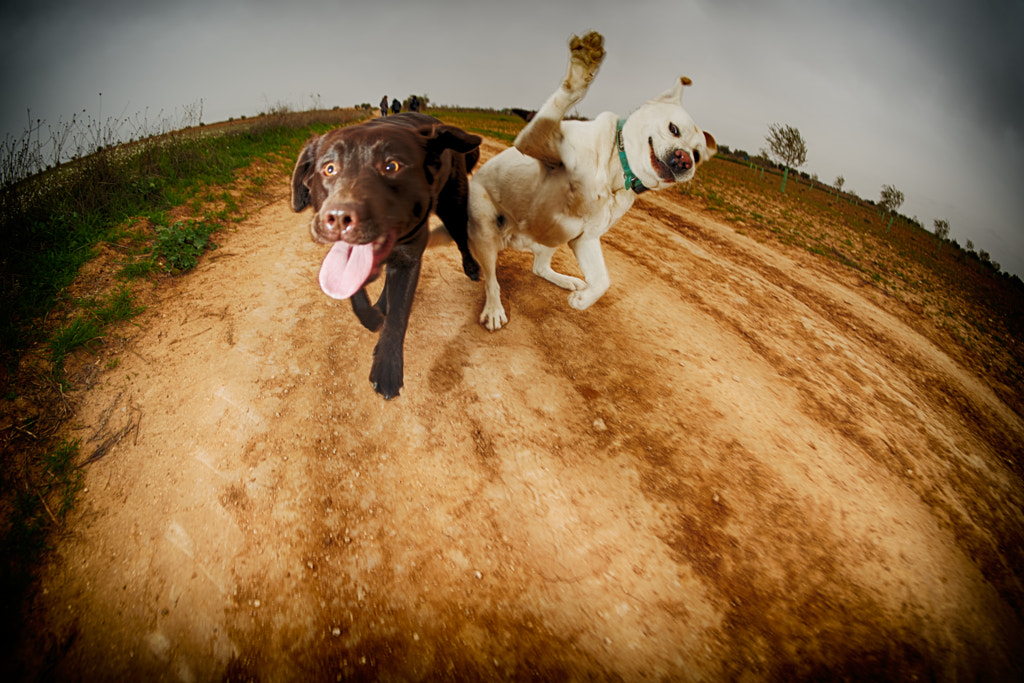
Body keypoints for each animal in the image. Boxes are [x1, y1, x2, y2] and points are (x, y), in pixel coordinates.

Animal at [288, 113, 479, 401]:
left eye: (392, 166)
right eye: (329, 168)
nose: (339, 217)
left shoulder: (409, 259)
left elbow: (398, 315)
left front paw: (387, 368)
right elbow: (356, 296)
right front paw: (373, 316)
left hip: (453, 207)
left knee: (462, 239)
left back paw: (472, 267)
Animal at [468, 30, 716, 329]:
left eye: (698, 155)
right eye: (673, 129)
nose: (685, 160)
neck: (616, 172)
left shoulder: (585, 237)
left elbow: (602, 281)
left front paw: (583, 300)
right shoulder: (534, 141)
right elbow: (566, 97)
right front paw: (583, 66)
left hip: (551, 240)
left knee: (539, 267)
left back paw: (566, 280)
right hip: (485, 228)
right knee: (491, 279)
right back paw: (494, 309)